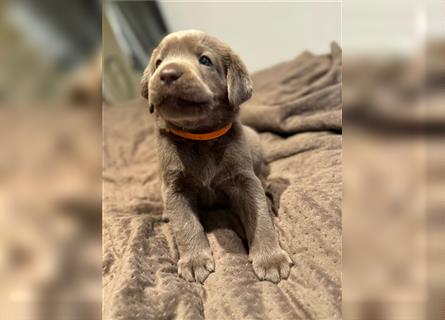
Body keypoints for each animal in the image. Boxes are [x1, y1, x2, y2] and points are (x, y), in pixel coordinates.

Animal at [140, 31, 292, 284]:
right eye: (158, 62)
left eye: (205, 60)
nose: (167, 73)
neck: (199, 137)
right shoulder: (175, 187)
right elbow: (185, 224)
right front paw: (194, 261)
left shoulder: (244, 180)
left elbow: (260, 216)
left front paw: (271, 259)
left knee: (261, 175)